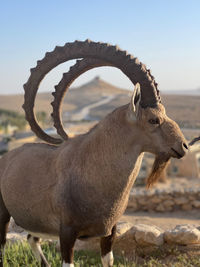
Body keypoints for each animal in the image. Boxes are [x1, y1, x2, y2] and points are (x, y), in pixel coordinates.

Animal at [0, 40, 188, 267]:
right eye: (153, 120)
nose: (184, 146)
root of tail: (6, 158)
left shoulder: (109, 232)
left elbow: (108, 259)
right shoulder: (67, 232)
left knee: (31, 238)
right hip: (3, 213)